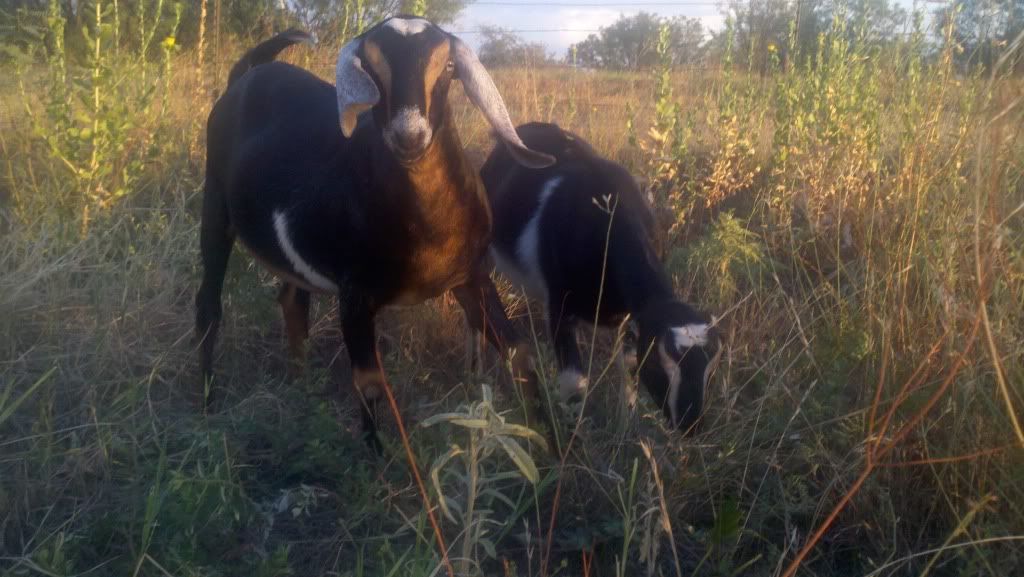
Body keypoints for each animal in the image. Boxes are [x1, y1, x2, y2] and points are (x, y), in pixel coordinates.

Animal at [195, 19, 555, 450]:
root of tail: (246, 74)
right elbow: (368, 381)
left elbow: (519, 352)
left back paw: (302, 386)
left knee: (291, 300)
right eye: (370, 66)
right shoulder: (355, 294)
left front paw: (550, 445)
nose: (409, 135)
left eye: (449, 67)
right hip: (215, 204)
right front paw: (377, 457)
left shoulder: (472, 277)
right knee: (208, 303)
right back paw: (207, 401)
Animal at [479, 122, 717, 433]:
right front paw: (572, 436)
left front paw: (626, 423)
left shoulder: (628, 318)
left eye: (709, 370)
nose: (691, 424)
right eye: (658, 362)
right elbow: (574, 384)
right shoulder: (560, 309)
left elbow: (627, 365)